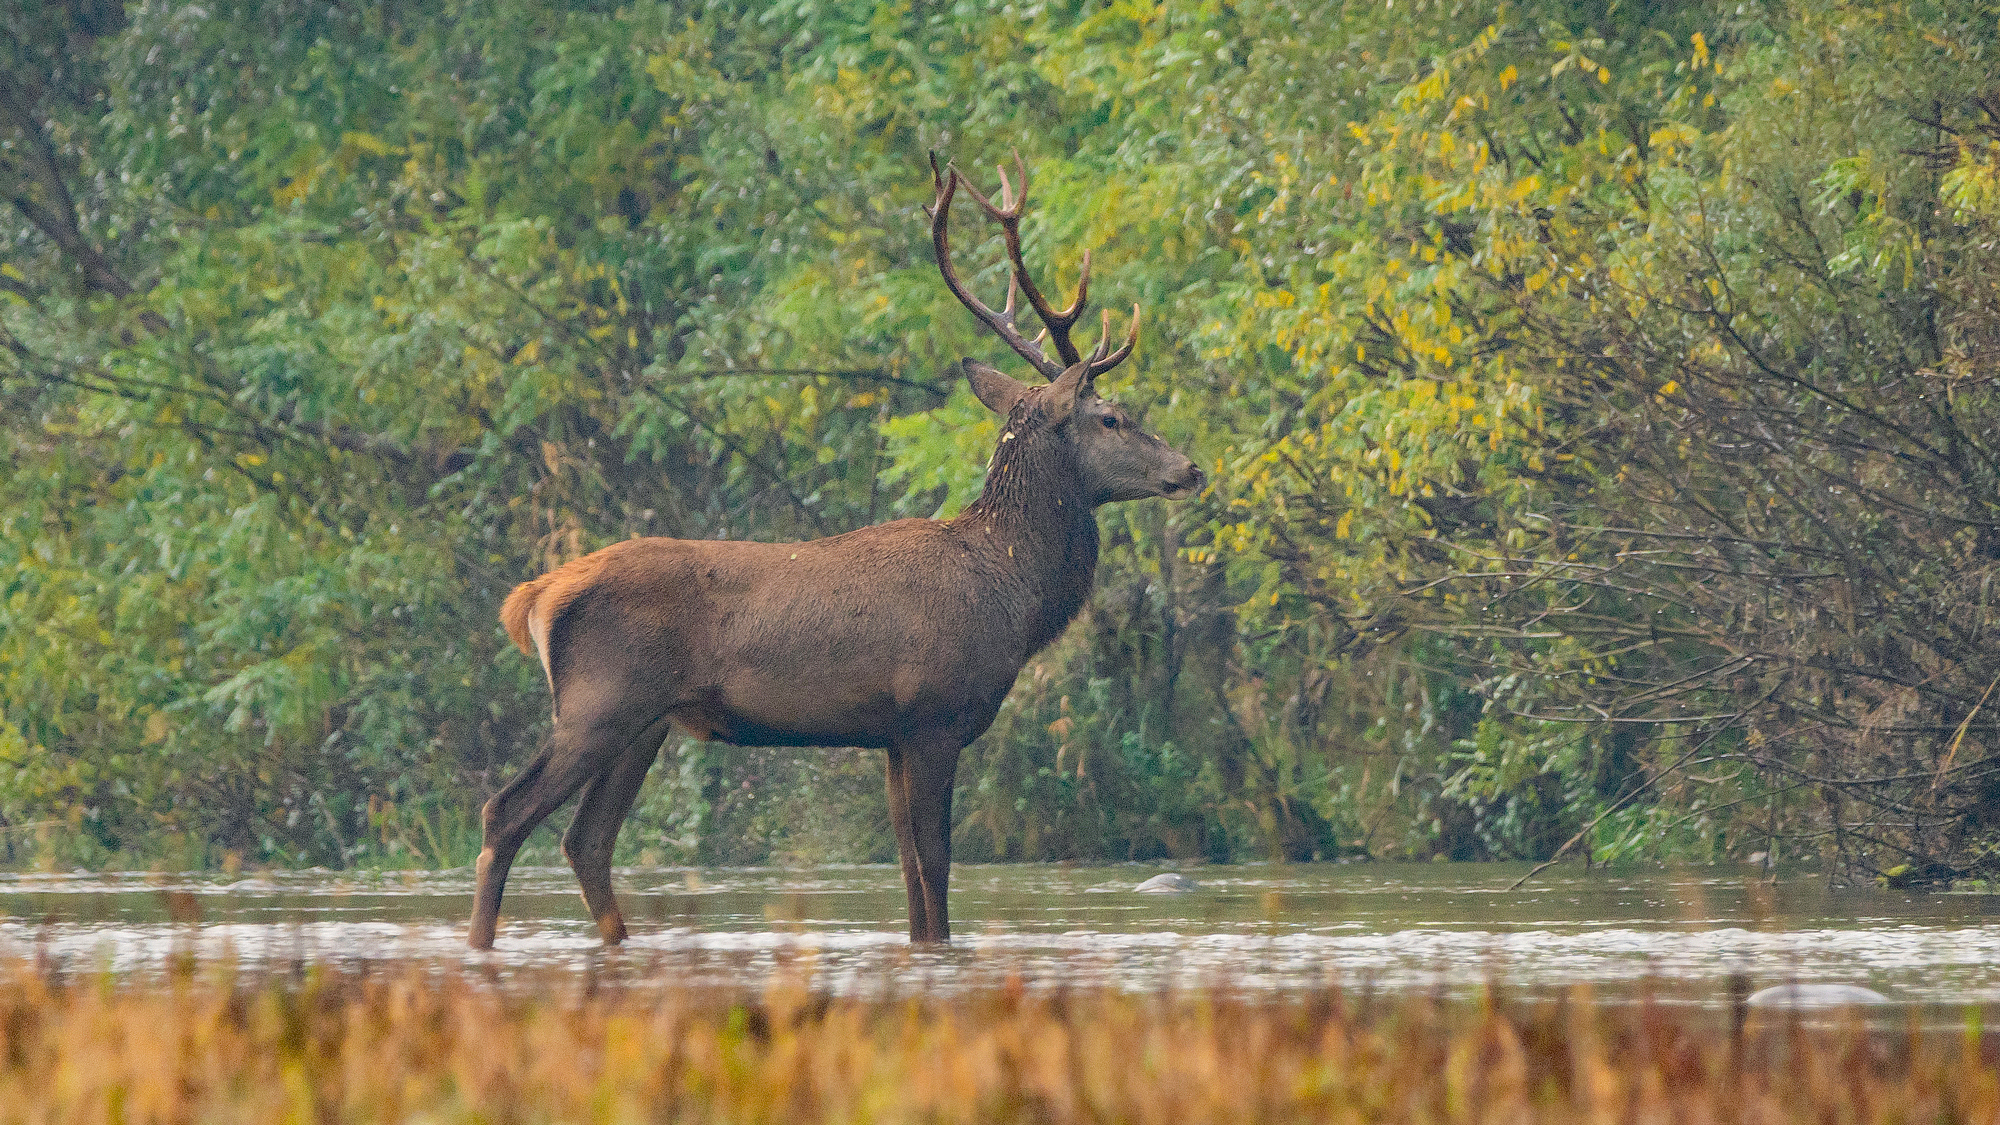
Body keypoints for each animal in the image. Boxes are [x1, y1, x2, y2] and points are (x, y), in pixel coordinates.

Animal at [468, 153, 1204, 949]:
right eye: (1113, 417)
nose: (1190, 468)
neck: (1011, 591)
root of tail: (534, 597)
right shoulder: (934, 715)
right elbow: (936, 867)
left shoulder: (890, 735)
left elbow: (910, 879)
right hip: (598, 700)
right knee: (504, 813)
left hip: (644, 722)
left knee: (586, 840)